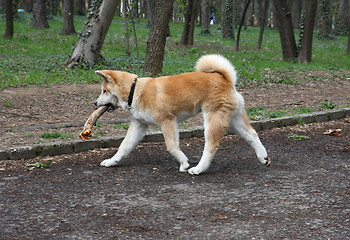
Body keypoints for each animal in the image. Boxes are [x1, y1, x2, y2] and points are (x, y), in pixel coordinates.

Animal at [94, 54, 270, 174]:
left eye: (104, 91)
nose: (94, 104)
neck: (135, 90)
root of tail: (225, 79)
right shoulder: (139, 125)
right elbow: (123, 147)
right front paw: (112, 161)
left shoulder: (167, 121)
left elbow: (171, 147)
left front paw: (184, 163)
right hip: (233, 119)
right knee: (252, 135)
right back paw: (264, 158)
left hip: (213, 120)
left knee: (211, 145)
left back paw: (198, 169)